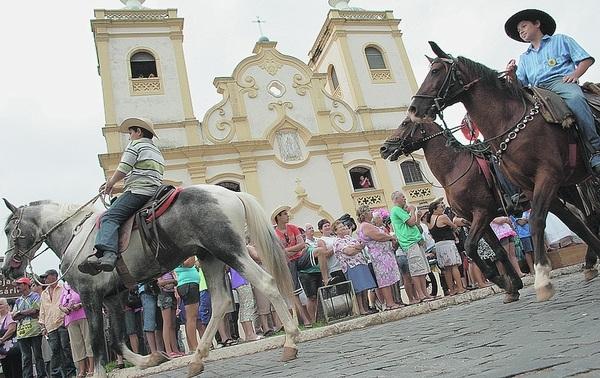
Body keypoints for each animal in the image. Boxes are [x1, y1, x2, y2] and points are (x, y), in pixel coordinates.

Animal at [0, 183, 300, 376]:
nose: (8, 269)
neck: (74, 234)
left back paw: (290, 341)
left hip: (229, 250)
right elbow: (117, 338)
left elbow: (97, 341)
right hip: (210, 257)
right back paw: (196, 359)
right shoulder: (114, 297)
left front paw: (100, 372)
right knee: (221, 301)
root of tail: (232, 194)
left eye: (7, 230)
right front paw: (151, 359)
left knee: (266, 284)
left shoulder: (89, 296)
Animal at [382, 116, 524, 302]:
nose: (384, 148)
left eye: (405, 123)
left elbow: (472, 247)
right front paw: (511, 285)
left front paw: (503, 281)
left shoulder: (482, 214)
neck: (455, 167)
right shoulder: (475, 218)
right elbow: (496, 250)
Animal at [408, 41, 600, 302]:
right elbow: (483, 247)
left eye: (436, 71)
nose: (414, 108)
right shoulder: (526, 191)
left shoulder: (542, 180)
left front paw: (537, 279)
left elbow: (536, 221)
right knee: (588, 218)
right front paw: (509, 283)